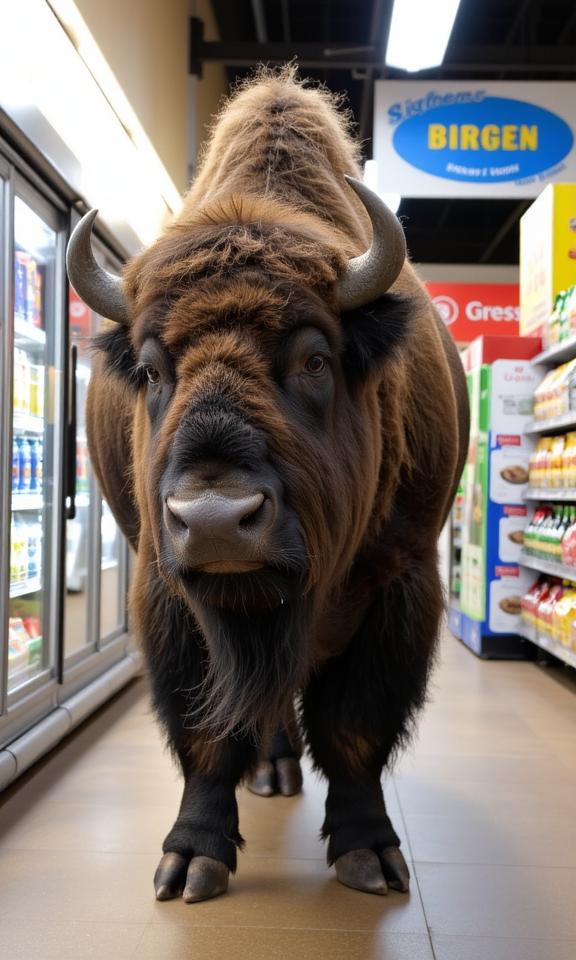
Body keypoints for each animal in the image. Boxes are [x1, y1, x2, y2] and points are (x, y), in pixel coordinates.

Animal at [66, 68, 469, 903]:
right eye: (150, 370)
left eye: (315, 359)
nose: (217, 519)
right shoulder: (172, 594)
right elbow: (205, 732)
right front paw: (191, 861)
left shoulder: (400, 581)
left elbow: (355, 728)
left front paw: (369, 855)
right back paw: (273, 771)